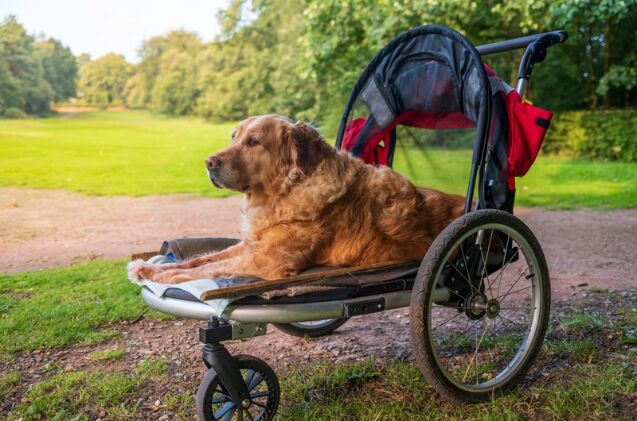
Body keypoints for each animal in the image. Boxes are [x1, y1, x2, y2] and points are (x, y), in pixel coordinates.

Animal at [129, 115, 464, 282]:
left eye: (253, 142)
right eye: (233, 137)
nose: (209, 162)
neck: (282, 194)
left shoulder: (270, 260)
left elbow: (209, 268)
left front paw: (168, 275)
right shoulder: (252, 245)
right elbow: (203, 259)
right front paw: (152, 269)